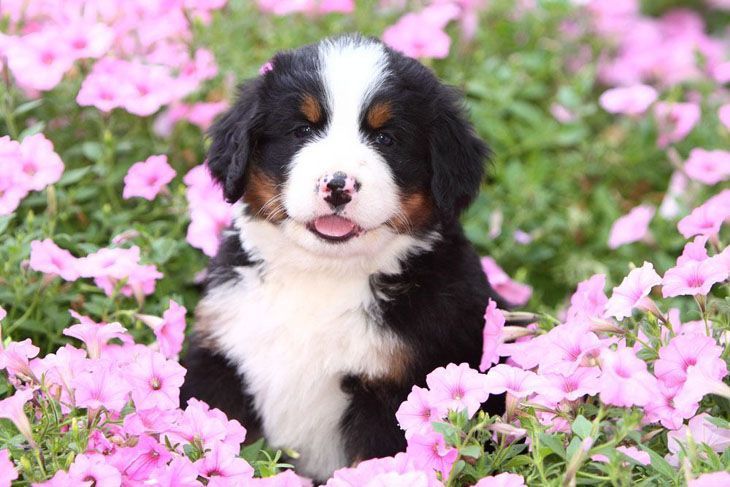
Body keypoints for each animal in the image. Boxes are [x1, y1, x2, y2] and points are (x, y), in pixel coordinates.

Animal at [179, 35, 504, 484]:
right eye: (302, 130)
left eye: (386, 139)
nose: (337, 184)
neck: (322, 276)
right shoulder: (222, 360)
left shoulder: (392, 395)